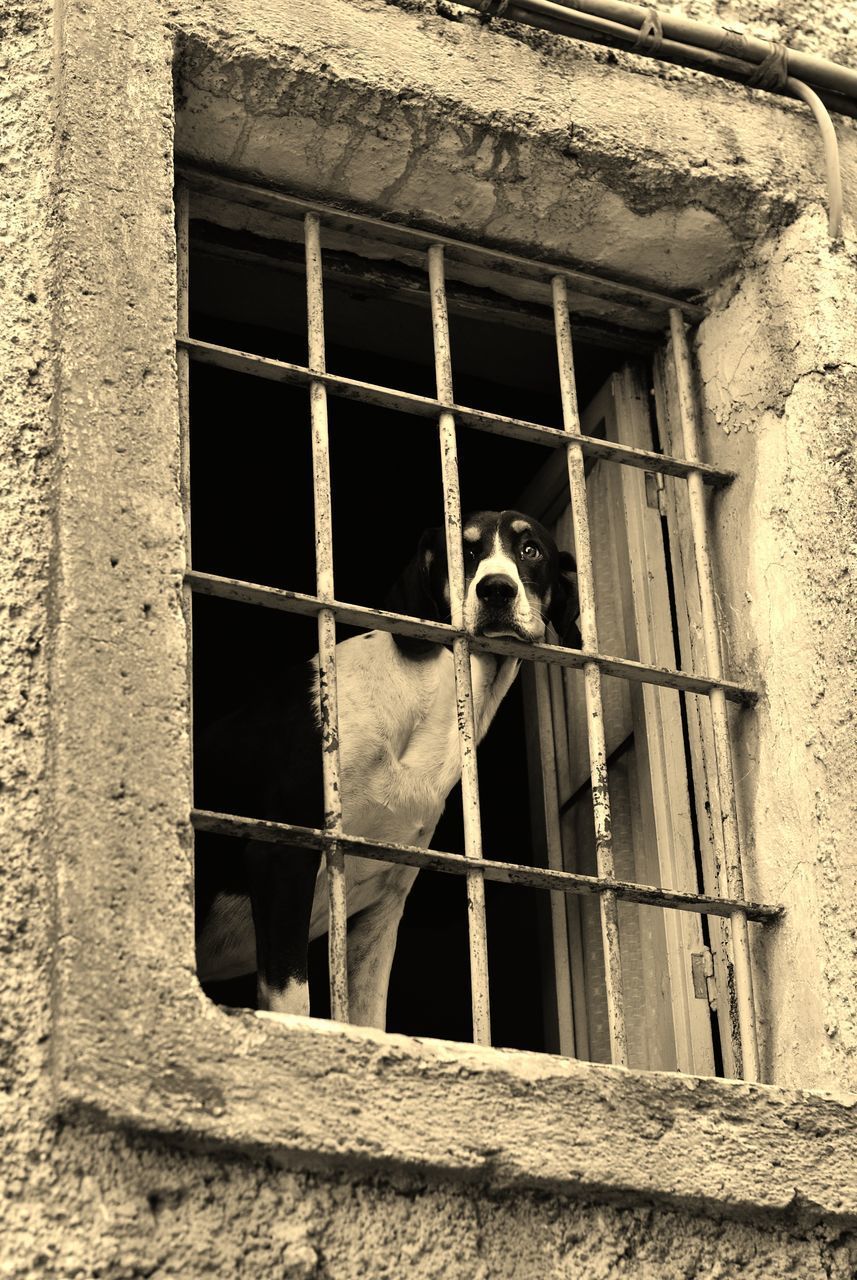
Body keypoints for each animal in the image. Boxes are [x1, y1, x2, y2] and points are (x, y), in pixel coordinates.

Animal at [198, 509, 580, 1029]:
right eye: (464, 549)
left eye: (531, 550)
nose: (496, 589)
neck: (429, 702)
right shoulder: (279, 857)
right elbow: (295, 1003)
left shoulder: (380, 910)